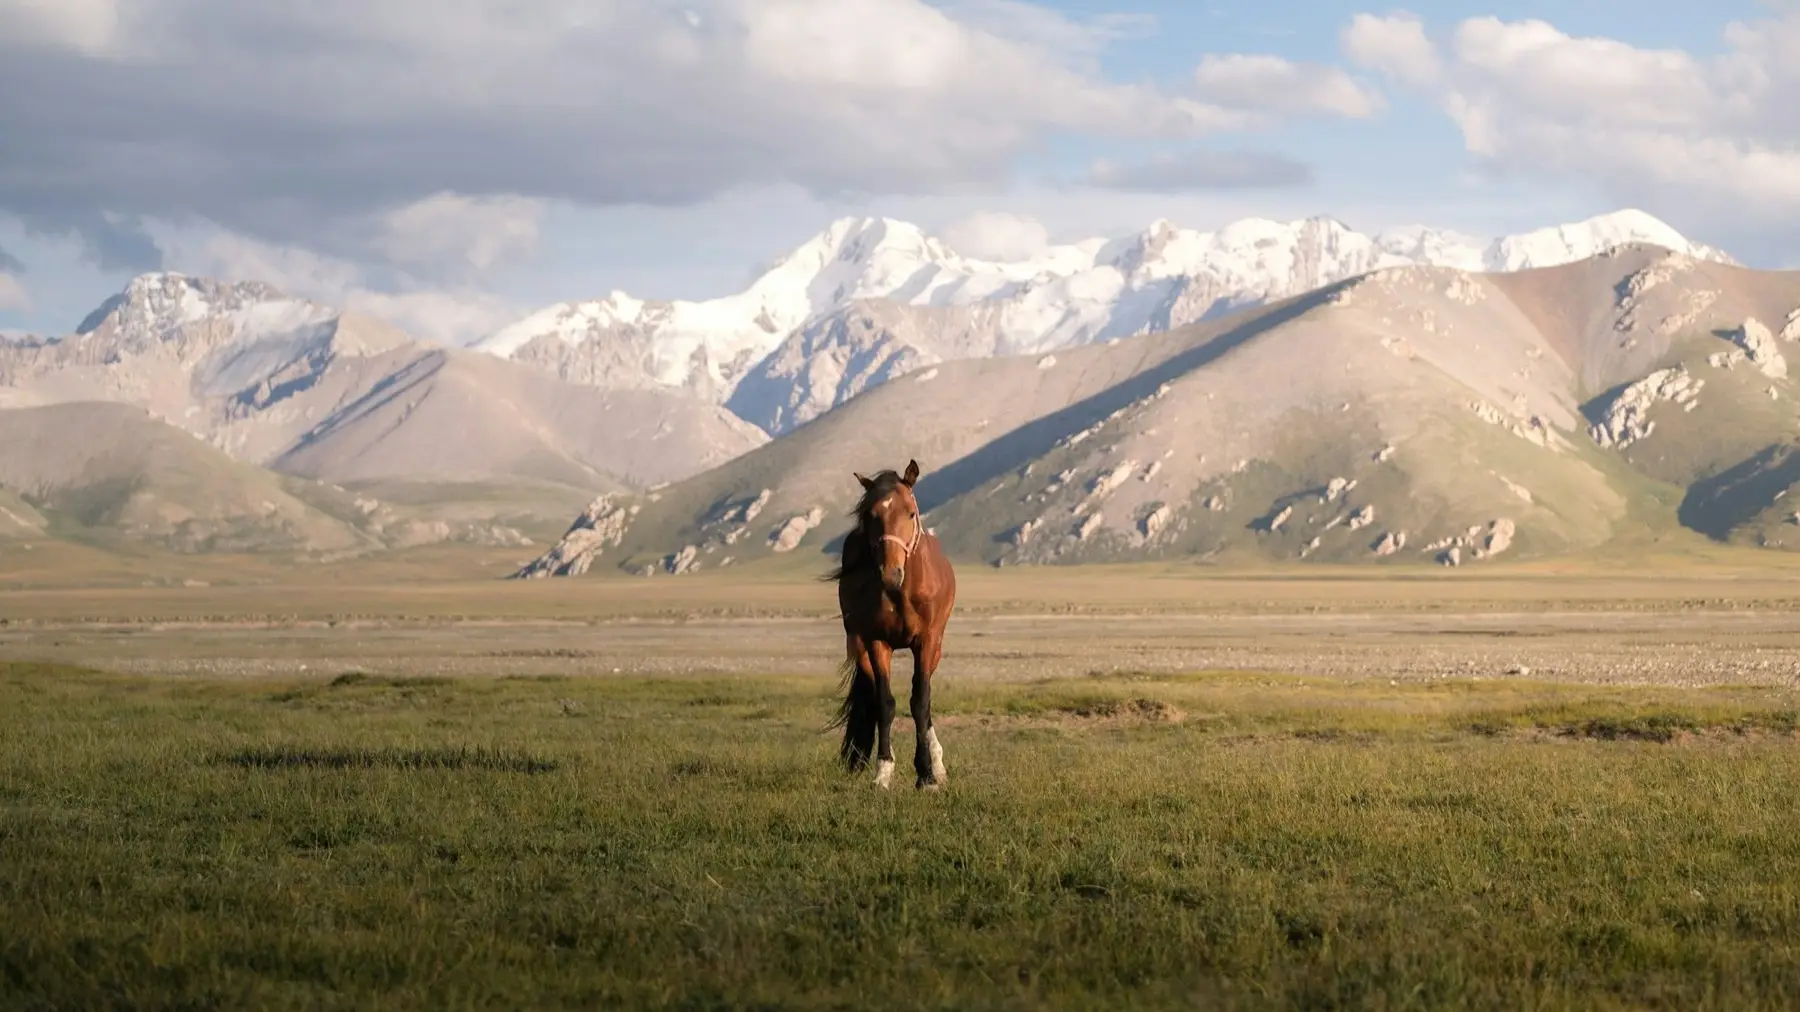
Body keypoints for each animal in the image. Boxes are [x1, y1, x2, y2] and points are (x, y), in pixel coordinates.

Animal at [824, 459, 958, 790]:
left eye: (910, 512)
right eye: (871, 515)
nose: (890, 573)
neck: (902, 592)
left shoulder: (926, 642)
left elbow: (920, 702)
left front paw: (926, 774)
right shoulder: (876, 642)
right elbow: (885, 703)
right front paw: (883, 770)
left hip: (935, 648)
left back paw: (937, 763)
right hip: (858, 646)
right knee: (875, 698)